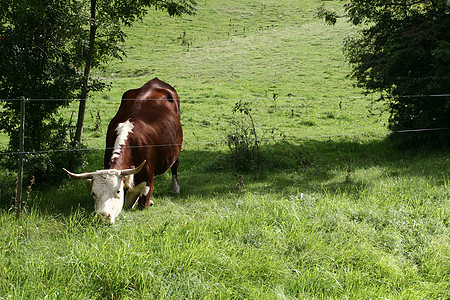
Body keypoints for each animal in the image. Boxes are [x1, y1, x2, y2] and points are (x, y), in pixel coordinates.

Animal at [63, 77, 183, 223]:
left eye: (117, 191)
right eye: (93, 193)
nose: (103, 216)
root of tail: (155, 81)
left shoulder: (148, 181)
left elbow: (143, 202)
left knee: (175, 166)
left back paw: (175, 189)